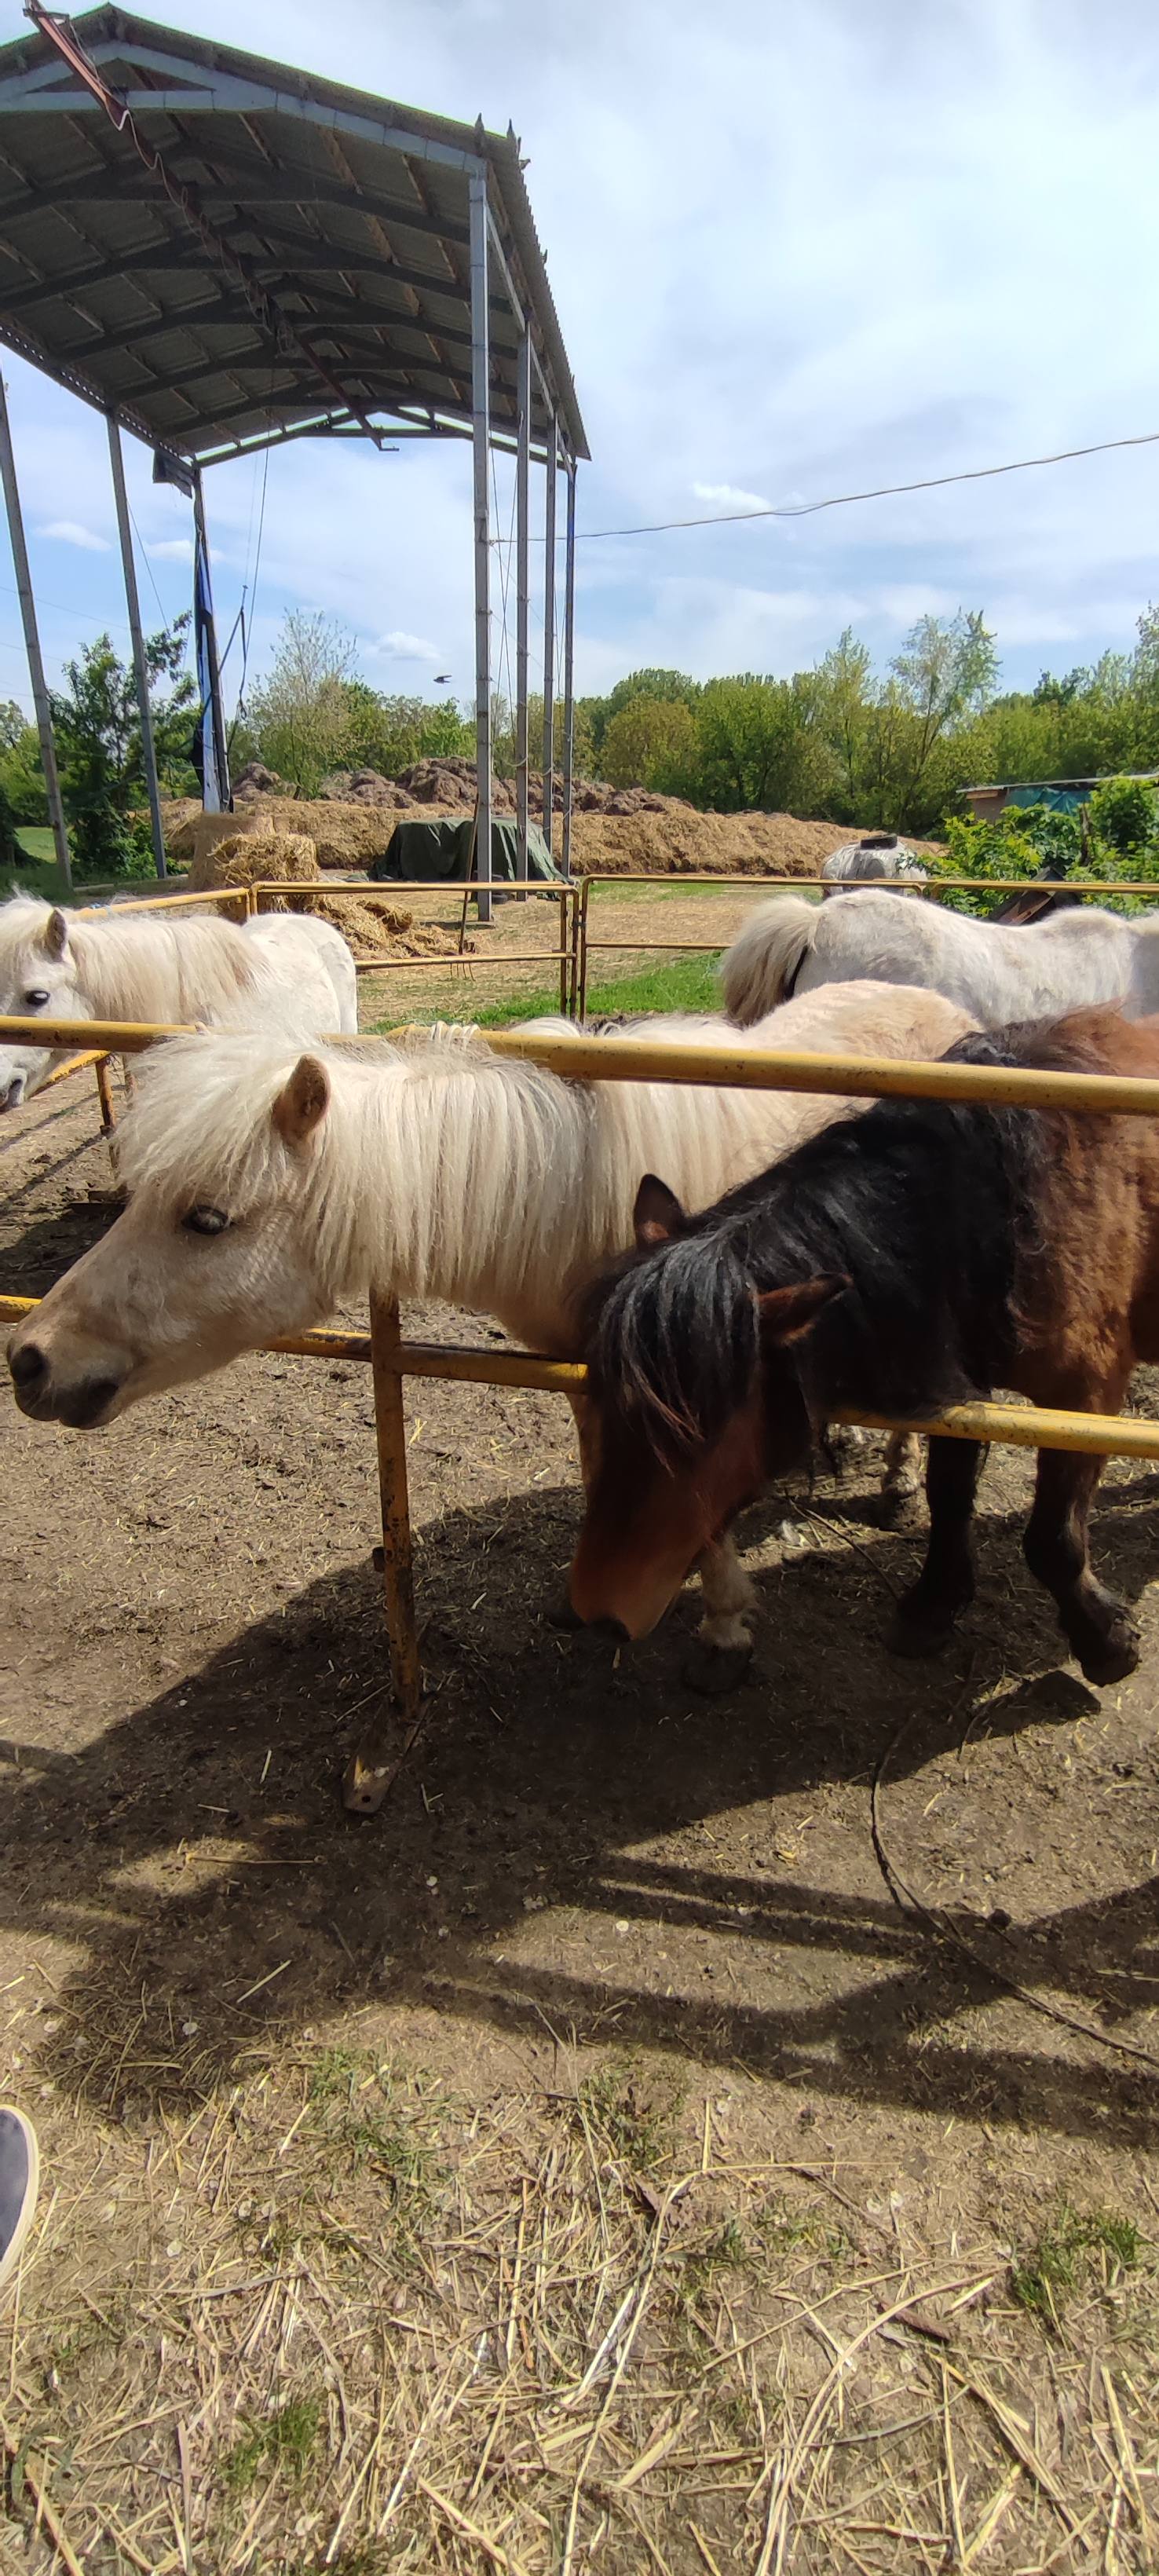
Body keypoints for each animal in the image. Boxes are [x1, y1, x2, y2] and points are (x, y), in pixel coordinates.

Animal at [6, 981, 971, 1659]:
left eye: (206, 1218)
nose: (31, 1360)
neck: (576, 1190)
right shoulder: (588, 1375)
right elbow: (610, 1472)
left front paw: (724, 1617)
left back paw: (898, 1484)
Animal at [568, 1006, 1159, 1689]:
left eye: (694, 1433)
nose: (596, 1611)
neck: (1006, 1207)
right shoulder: (964, 1381)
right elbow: (949, 1494)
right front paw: (934, 1606)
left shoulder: (1084, 1395)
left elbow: (1053, 1537)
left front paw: (1105, 1640)